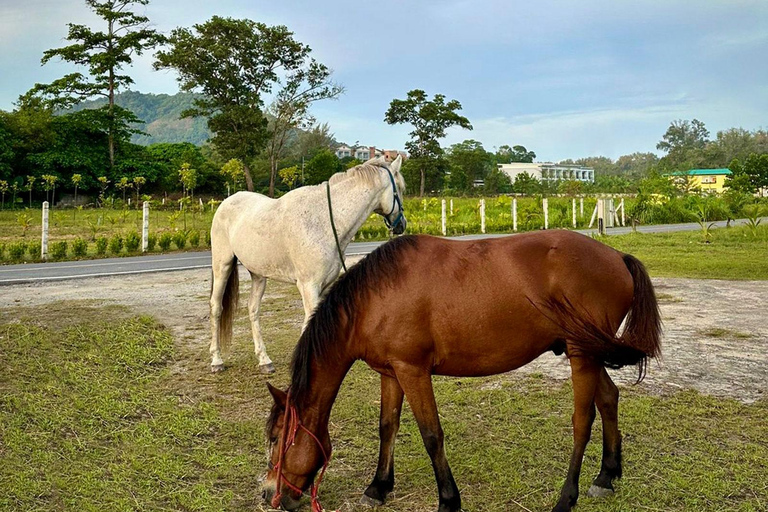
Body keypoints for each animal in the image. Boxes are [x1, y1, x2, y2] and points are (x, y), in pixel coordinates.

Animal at [206, 154, 408, 374]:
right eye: (401, 188)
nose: (401, 225)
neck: (323, 220)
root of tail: (226, 202)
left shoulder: (323, 287)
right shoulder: (308, 287)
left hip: (258, 275)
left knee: (253, 310)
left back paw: (264, 359)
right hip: (222, 266)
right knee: (216, 307)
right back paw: (216, 361)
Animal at [262, 232, 660, 512]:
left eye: (277, 438)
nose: (269, 494)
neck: (375, 298)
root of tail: (618, 257)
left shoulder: (413, 371)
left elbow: (431, 435)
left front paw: (448, 499)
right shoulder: (390, 373)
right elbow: (387, 426)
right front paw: (378, 487)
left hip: (582, 355)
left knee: (582, 421)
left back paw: (567, 497)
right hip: (590, 354)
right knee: (609, 398)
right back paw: (606, 476)